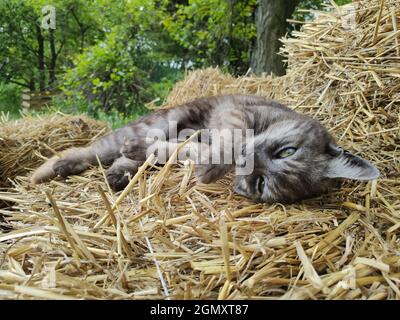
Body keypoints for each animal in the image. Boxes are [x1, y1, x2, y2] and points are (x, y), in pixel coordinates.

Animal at [32, 95, 378, 204]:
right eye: (287, 151)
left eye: (260, 184)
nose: (248, 160)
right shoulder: (236, 113)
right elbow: (228, 143)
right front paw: (212, 166)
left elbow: (178, 152)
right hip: (160, 120)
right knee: (93, 148)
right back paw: (48, 170)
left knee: (118, 156)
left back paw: (121, 171)